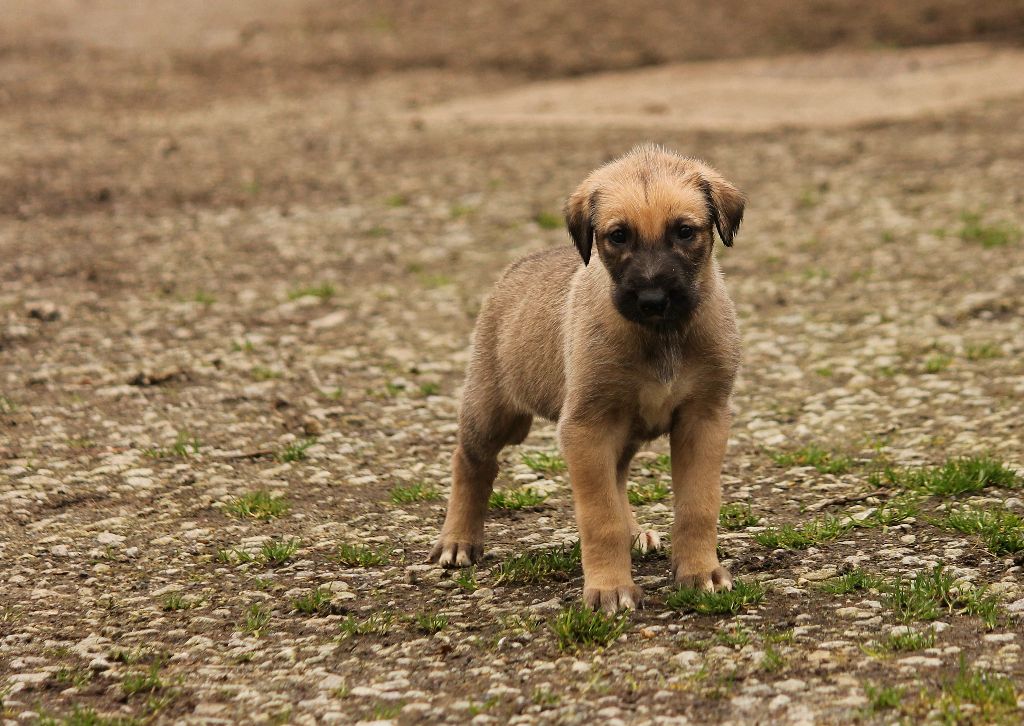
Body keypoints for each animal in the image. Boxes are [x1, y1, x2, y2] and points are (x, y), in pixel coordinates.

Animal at [429, 144, 745, 612]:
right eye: (618, 236)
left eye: (685, 231)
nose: (653, 299)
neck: (660, 336)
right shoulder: (587, 428)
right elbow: (600, 518)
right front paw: (610, 588)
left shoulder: (703, 419)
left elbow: (697, 506)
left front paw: (699, 572)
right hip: (494, 411)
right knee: (471, 461)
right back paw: (458, 540)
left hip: (622, 429)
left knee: (617, 477)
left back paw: (636, 533)